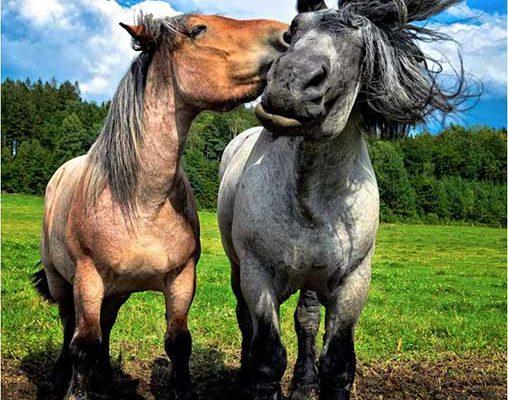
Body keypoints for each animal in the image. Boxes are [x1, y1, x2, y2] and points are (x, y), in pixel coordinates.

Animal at [35, 12, 288, 400]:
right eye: (197, 29)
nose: (288, 34)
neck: (141, 202)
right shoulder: (88, 280)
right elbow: (83, 344)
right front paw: (75, 390)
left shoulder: (181, 280)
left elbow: (178, 341)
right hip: (61, 280)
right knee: (68, 327)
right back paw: (58, 375)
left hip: (117, 291)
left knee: (106, 325)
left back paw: (106, 379)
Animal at [218, 0, 472, 400]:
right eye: (291, 31)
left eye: (361, 50)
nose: (289, 83)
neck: (313, 197)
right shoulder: (258, 275)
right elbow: (267, 358)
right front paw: (254, 380)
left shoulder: (353, 282)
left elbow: (337, 362)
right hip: (238, 268)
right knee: (247, 324)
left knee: (306, 321)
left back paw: (304, 384)